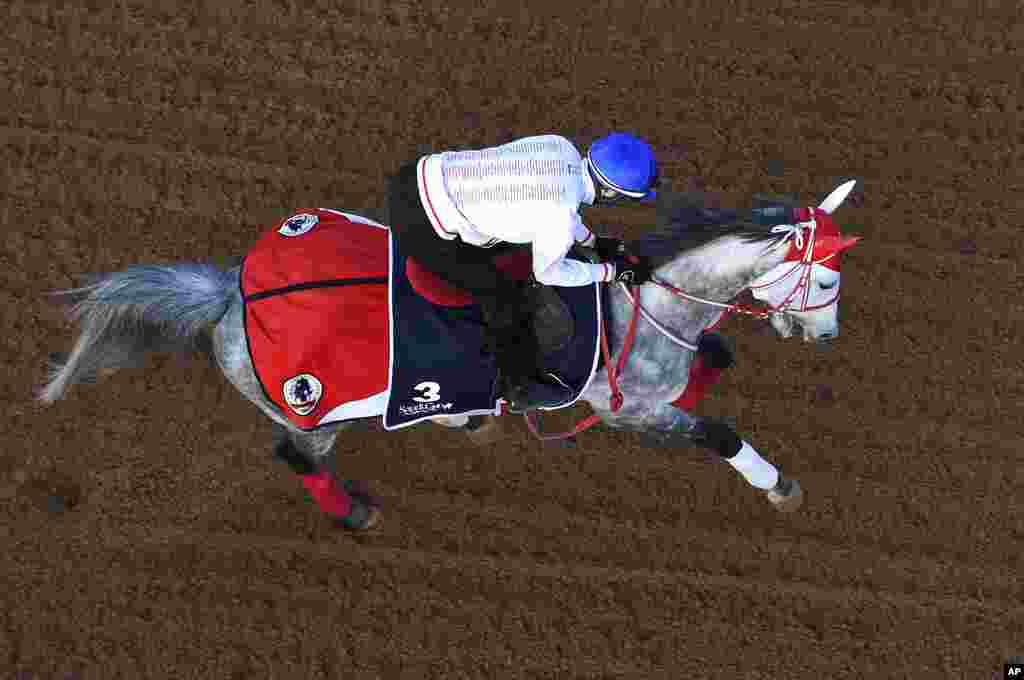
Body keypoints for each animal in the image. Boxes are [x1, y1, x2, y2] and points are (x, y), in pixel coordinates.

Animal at [36, 180, 860, 532]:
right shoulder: (623, 411)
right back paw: (354, 511)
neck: (639, 303)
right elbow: (716, 431)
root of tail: (230, 298)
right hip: (318, 409)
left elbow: (712, 359)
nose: (827, 337)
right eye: (825, 280)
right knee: (293, 453)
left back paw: (461, 418)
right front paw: (779, 486)